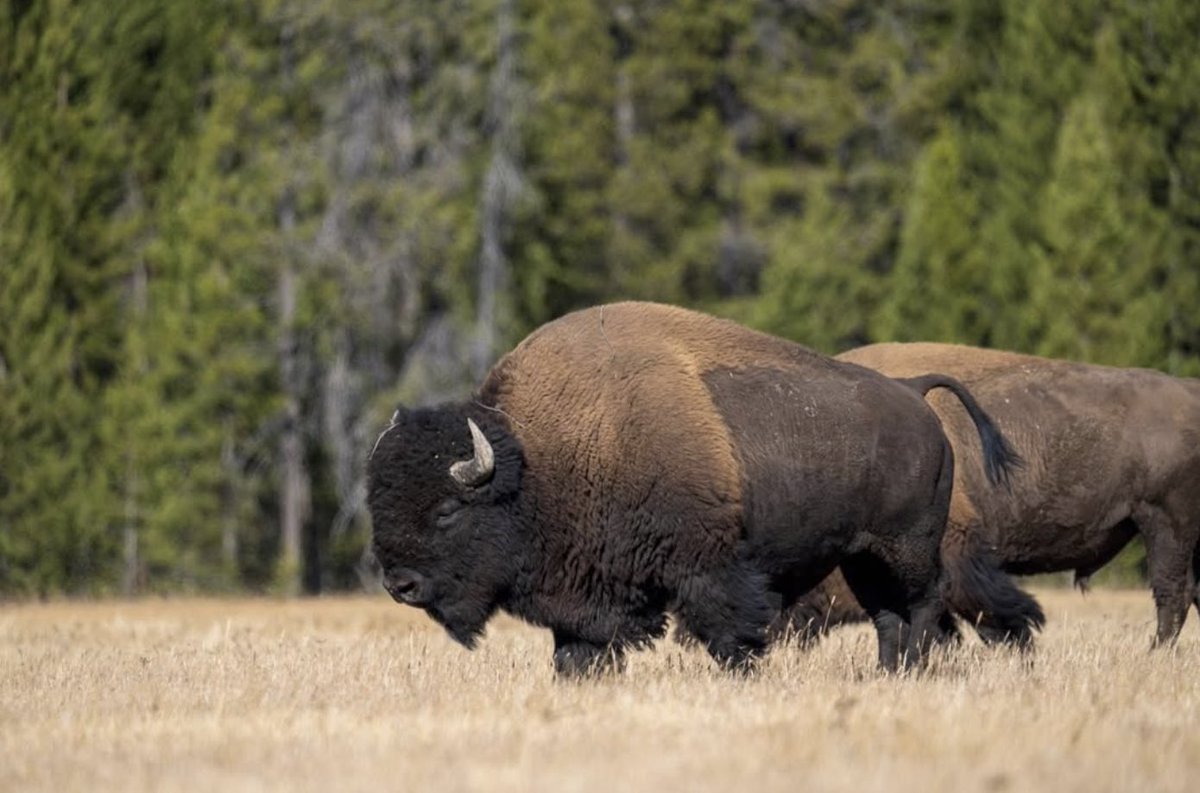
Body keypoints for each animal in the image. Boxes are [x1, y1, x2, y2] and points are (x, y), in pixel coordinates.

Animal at [367, 303, 1038, 675]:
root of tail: (914, 395)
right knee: (889, 617)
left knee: (921, 608)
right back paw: (888, 675)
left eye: (449, 509)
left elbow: (731, 636)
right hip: (864, 556)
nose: (400, 584)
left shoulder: (710, 571)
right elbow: (577, 651)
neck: (539, 457)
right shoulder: (586, 593)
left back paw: (912, 673)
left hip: (907, 550)